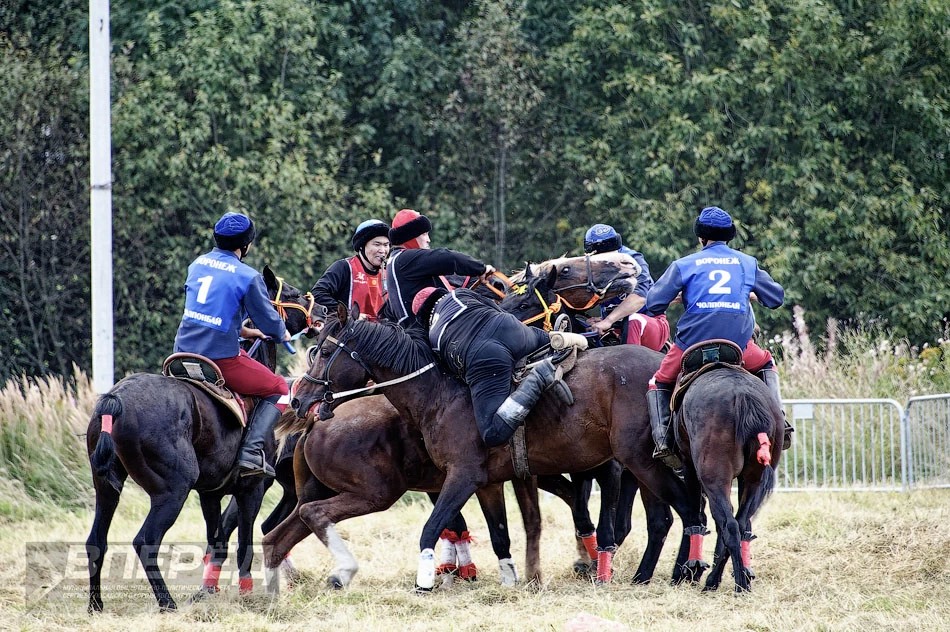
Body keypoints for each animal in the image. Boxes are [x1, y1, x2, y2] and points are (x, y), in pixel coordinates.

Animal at [84, 266, 320, 612]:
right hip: (173, 489)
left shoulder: (211, 493)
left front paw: (209, 591)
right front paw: (246, 594)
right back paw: (167, 602)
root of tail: (116, 399)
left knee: (95, 543)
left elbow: (218, 541)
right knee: (146, 541)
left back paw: (96, 605)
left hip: (106, 487)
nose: (324, 311)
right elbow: (244, 544)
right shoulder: (252, 489)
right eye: (289, 293)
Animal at [290, 304, 708, 592]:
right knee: (666, 517)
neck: (441, 393)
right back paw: (651, 574)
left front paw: (424, 581)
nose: (299, 398)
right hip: (642, 467)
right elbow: (500, 534)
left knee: (688, 509)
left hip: (641, 462)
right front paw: (509, 580)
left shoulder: (462, 477)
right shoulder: (488, 483)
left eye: (324, 351)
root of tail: (668, 369)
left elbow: (430, 530)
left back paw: (687, 571)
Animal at [672, 344, 784, 592]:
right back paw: (725, 579)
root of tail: (744, 395)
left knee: (730, 525)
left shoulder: (691, 468)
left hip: (714, 478)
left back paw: (732, 583)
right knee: (739, 524)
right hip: (753, 480)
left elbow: (698, 516)